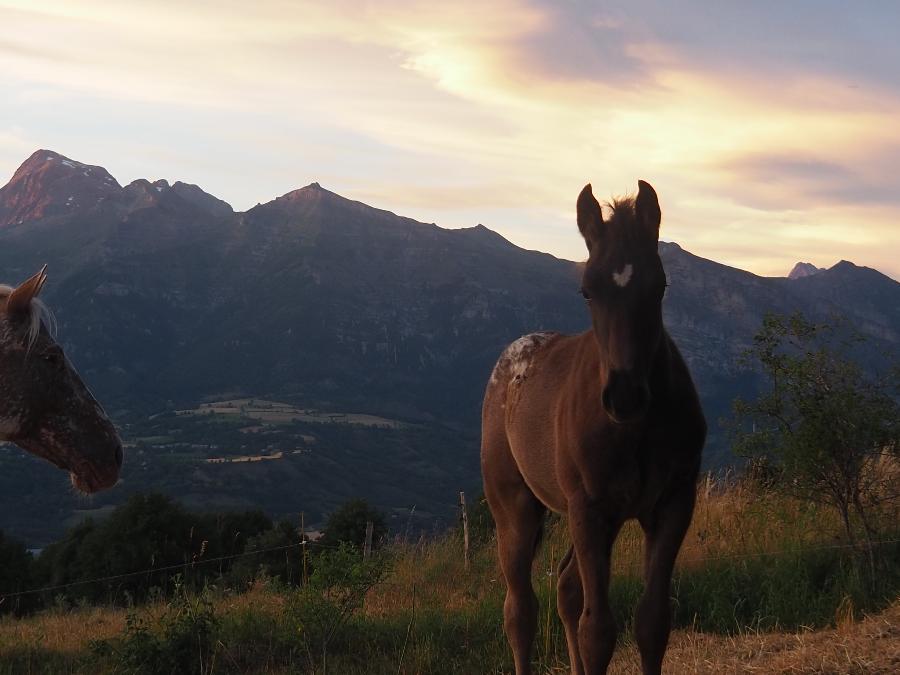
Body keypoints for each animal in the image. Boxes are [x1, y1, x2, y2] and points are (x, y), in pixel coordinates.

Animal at [481, 181, 705, 675]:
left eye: (660, 286)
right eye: (587, 291)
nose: (624, 396)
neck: (634, 432)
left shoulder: (673, 503)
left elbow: (652, 622)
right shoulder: (589, 507)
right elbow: (597, 631)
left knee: (566, 588)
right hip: (515, 509)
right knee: (519, 610)